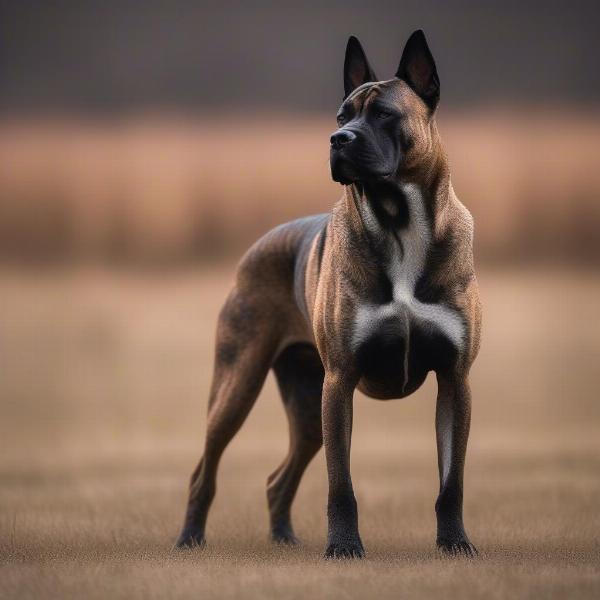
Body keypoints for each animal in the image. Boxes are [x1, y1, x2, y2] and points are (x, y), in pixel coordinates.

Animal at [176, 30, 480, 556]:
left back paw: (284, 538)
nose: (338, 140)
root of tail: (255, 248)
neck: (399, 222)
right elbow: (341, 482)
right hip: (240, 383)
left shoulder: (454, 380)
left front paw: (455, 543)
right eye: (342, 116)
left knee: (278, 479)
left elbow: (451, 481)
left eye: (384, 114)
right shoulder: (338, 382)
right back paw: (190, 538)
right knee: (205, 470)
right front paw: (344, 547)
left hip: (303, 405)